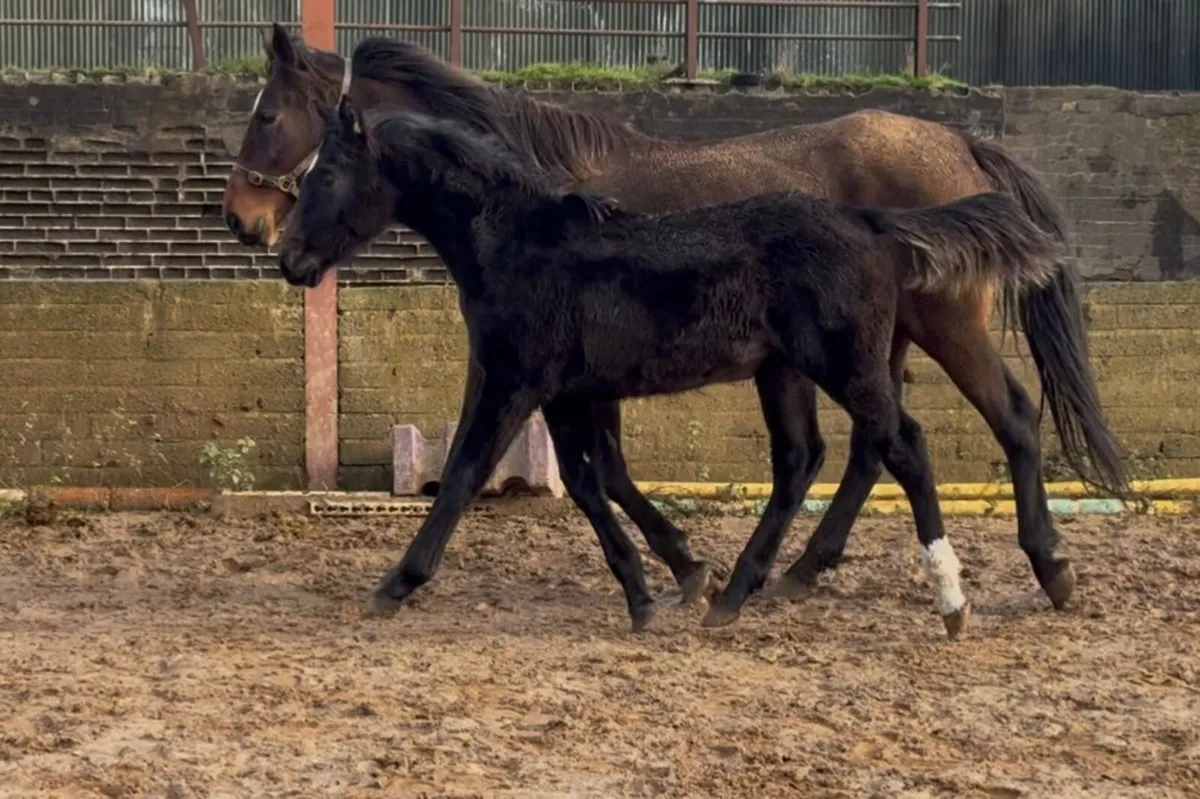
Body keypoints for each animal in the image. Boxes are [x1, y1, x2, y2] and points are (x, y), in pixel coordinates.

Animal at [224, 24, 1127, 619]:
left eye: (269, 116)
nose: (255, 230)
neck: (525, 221)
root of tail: (962, 150)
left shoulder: (521, 372)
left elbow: (478, 470)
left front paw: (403, 581)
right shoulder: (572, 381)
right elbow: (601, 476)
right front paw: (678, 571)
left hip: (929, 329)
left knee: (998, 419)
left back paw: (1036, 572)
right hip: (853, 353)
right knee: (856, 449)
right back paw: (786, 575)